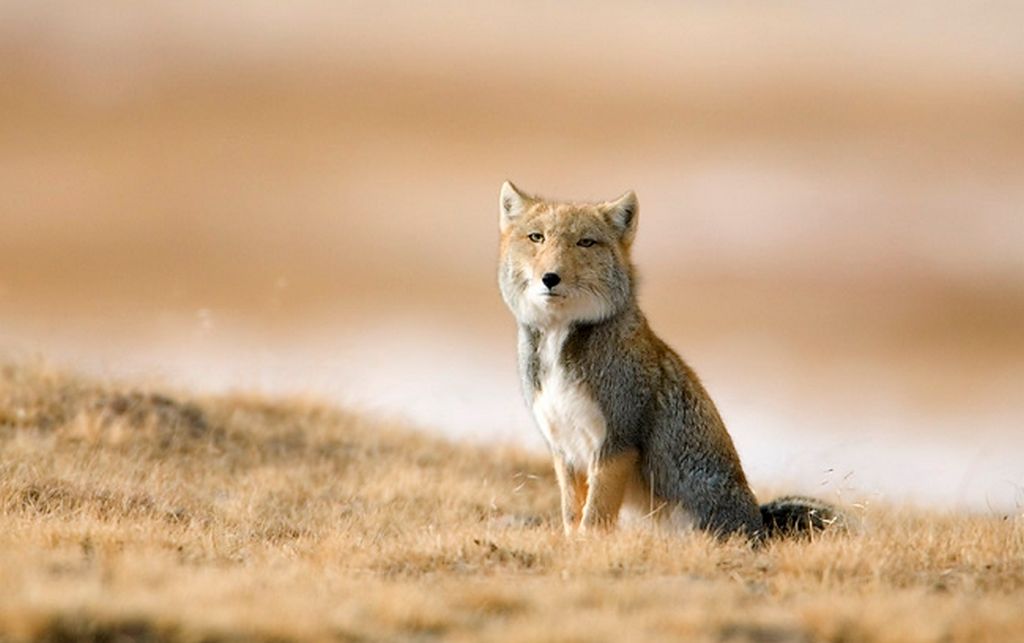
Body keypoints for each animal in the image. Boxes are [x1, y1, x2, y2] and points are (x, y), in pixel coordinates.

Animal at [495, 181, 839, 540]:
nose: (550, 277)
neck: (559, 342)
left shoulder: (616, 441)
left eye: (585, 242)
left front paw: (587, 544)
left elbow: (595, 516)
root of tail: (759, 524)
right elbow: (572, 515)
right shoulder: (564, 449)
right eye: (537, 237)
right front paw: (573, 543)